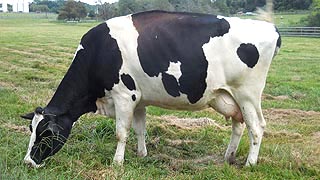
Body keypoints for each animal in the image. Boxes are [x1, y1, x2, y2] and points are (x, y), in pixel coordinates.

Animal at [20, 9, 280, 167]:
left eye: (46, 134)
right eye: (31, 129)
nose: (28, 162)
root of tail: (270, 28)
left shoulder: (124, 95)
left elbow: (121, 132)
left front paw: (117, 163)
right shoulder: (139, 99)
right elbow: (139, 129)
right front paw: (141, 154)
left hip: (248, 94)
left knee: (257, 127)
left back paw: (250, 163)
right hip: (229, 96)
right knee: (239, 124)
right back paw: (229, 157)